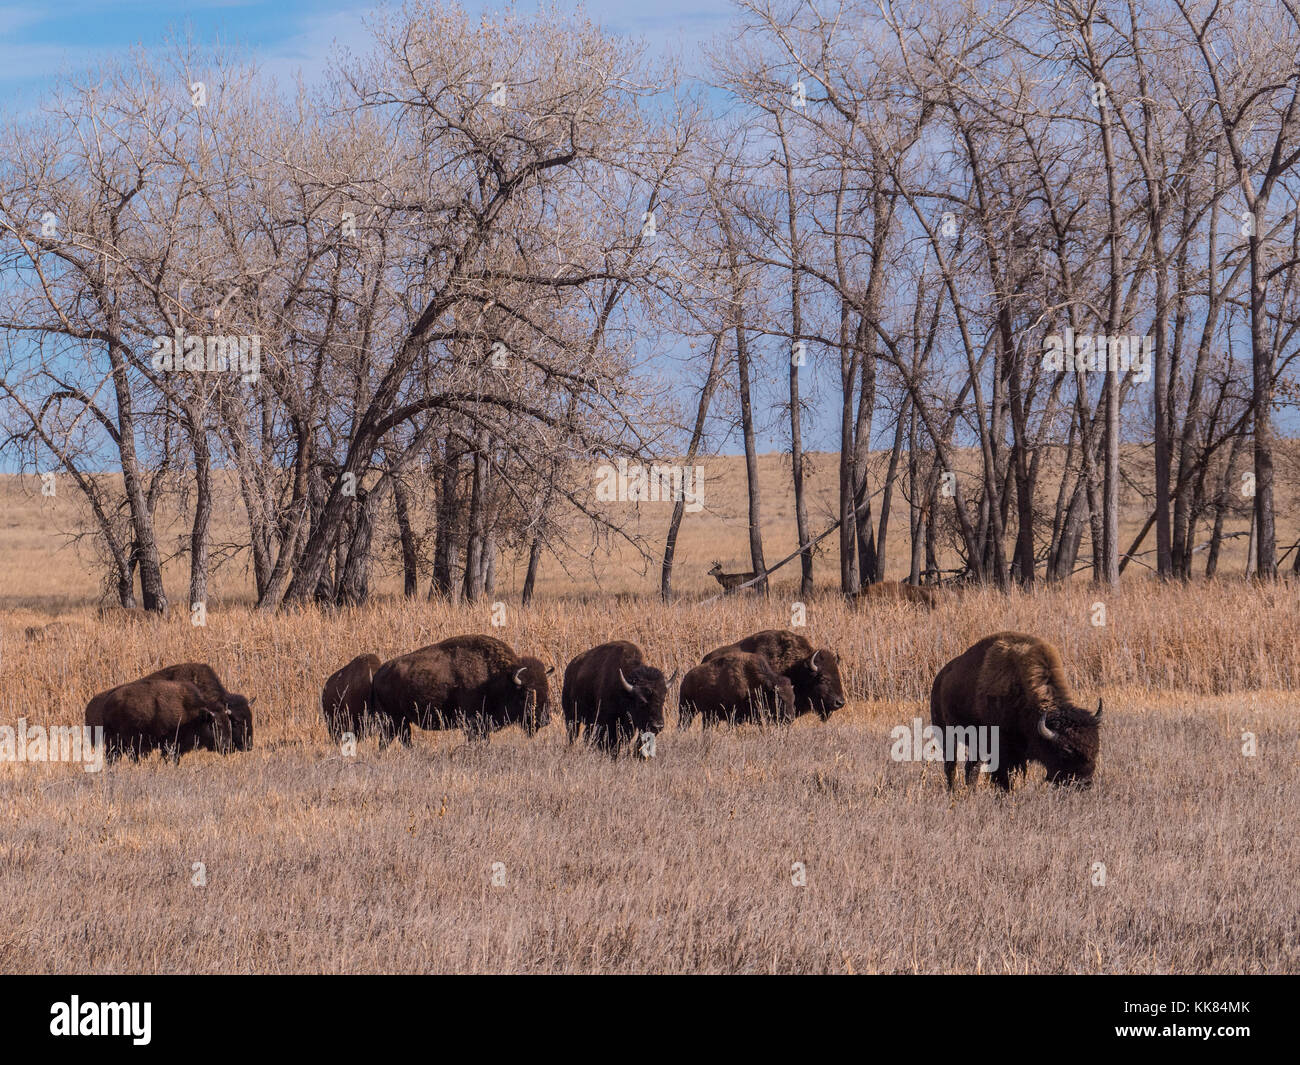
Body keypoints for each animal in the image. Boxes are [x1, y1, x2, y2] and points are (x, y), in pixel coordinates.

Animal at [87, 681, 236, 764]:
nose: (227, 746)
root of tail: (107, 701)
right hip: (116, 743)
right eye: (216, 725)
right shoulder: (168, 745)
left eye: (229, 724)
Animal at [369, 637, 551, 743]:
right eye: (526, 694)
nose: (545, 719)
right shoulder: (472, 722)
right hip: (394, 719)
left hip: (400, 720)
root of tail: (378, 673)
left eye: (547, 689)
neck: (499, 678)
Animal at [930, 631, 1102, 790]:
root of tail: (940, 678)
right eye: (1066, 751)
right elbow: (1002, 777)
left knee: (971, 768)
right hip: (945, 733)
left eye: (1096, 749)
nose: (1084, 783)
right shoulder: (1001, 750)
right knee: (951, 767)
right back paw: (952, 792)